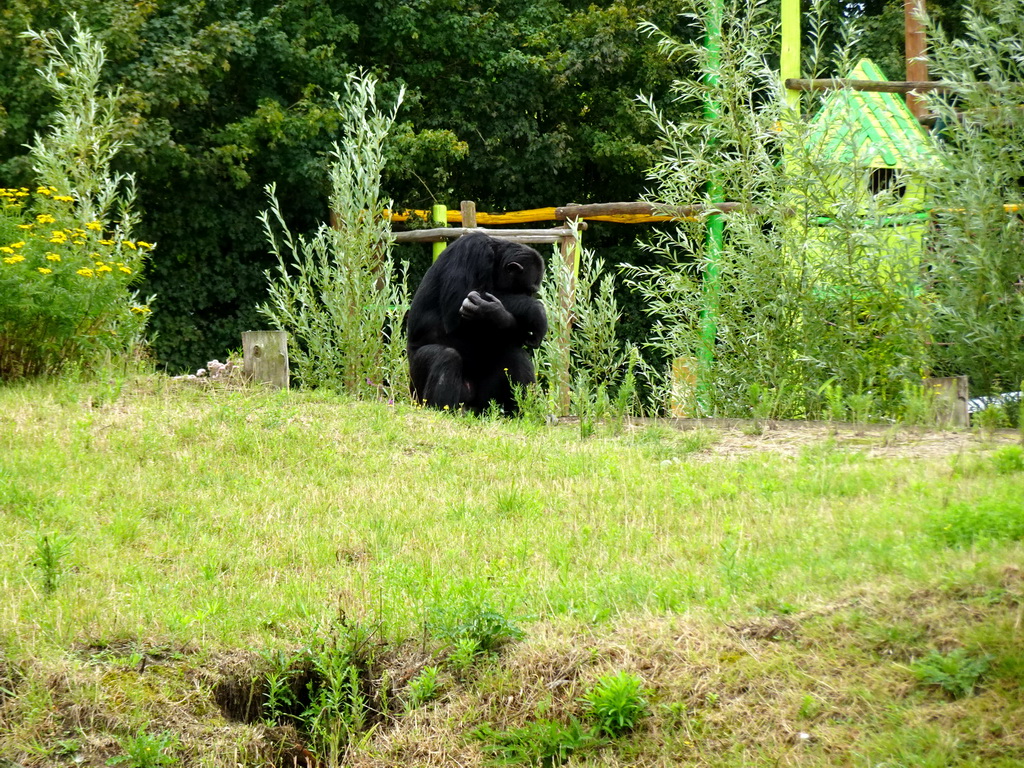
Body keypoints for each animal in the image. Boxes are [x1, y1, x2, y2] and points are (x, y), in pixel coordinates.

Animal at [407, 233, 548, 415]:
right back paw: (443, 410)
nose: (531, 296)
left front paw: (498, 314)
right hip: (417, 388)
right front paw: (535, 310)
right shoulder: (472, 249)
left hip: (484, 402)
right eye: (527, 291)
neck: (495, 263)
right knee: (446, 357)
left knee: (515, 354)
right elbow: (457, 306)